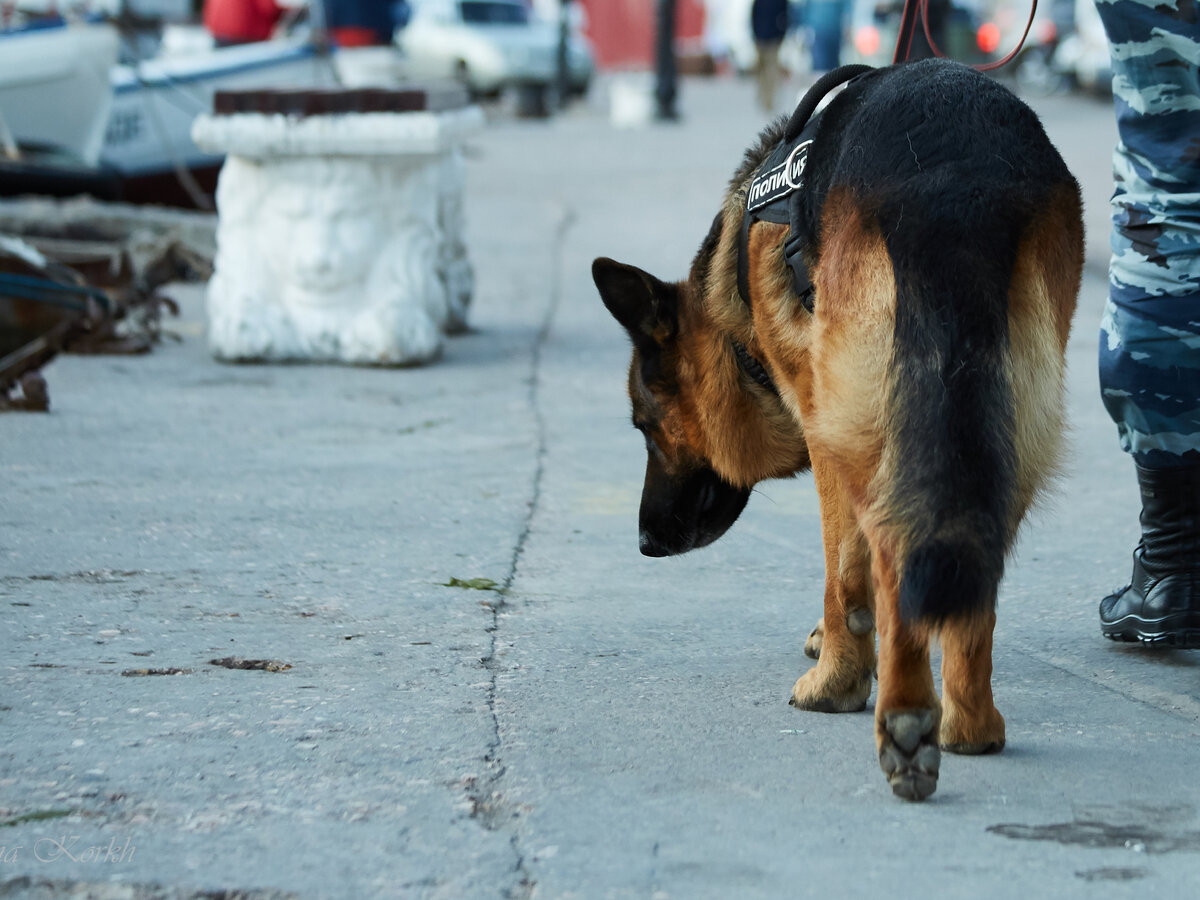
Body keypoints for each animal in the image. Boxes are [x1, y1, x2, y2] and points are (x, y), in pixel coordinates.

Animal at [595, 58, 1084, 801]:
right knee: (973, 552)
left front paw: (837, 667)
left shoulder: (823, 424)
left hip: (856, 431)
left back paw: (899, 717)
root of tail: (953, 180)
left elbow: (843, 577)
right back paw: (970, 724)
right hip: (1015, 422)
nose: (647, 543)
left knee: (884, 549)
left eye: (645, 426)